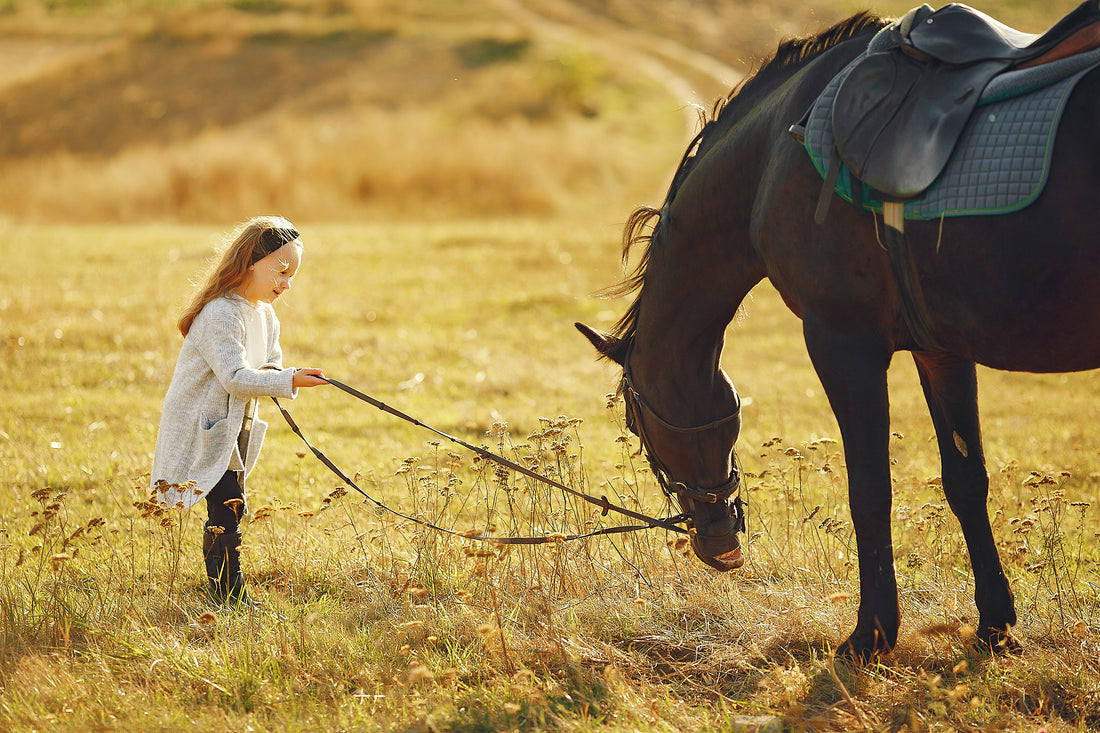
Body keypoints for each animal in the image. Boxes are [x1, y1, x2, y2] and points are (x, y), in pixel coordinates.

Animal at [576, 4, 1100, 655]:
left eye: (637, 424)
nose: (720, 542)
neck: (774, 155)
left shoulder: (843, 343)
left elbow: (870, 490)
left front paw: (871, 634)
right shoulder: (942, 351)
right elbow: (965, 480)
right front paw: (996, 624)